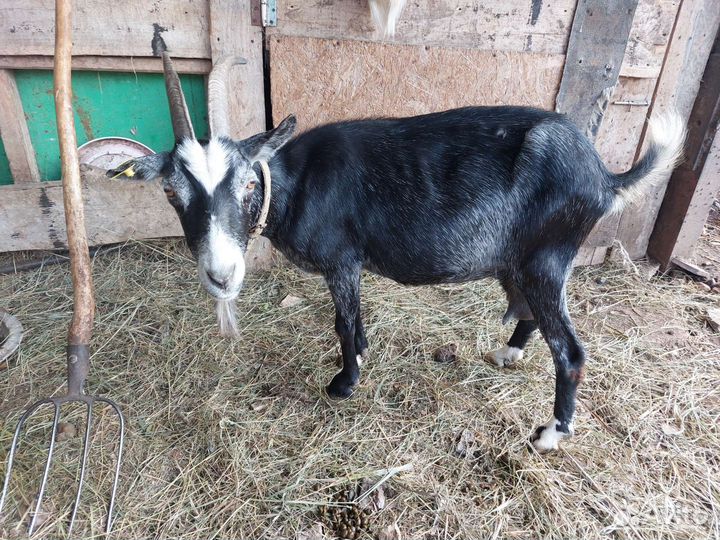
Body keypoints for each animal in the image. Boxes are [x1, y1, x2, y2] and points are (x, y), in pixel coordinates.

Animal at [109, 54, 685, 452]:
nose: (222, 275)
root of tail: (606, 178)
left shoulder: (341, 259)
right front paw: (363, 353)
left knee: (570, 349)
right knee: (527, 309)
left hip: (548, 255)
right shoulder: (352, 266)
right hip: (519, 258)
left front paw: (344, 382)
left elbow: (342, 321)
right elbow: (356, 318)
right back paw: (508, 353)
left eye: (249, 184)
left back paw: (550, 434)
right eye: (171, 193)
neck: (295, 184)